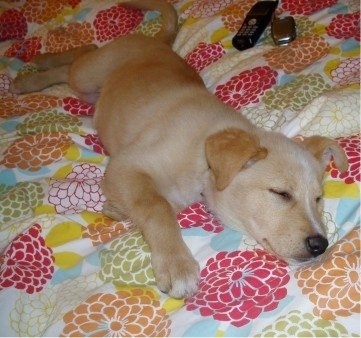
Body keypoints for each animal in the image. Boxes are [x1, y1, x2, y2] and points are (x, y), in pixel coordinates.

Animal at [11, 0, 346, 298]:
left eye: (318, 199)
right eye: (281, 194)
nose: (321, 245)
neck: (202, 157)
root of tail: (154, 41)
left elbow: (152, 202)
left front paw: (118, 208)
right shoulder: (126, 164)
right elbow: (156, 206)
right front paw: (177, 264)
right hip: (88, 74)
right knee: (83, 54)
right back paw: (34, 74)